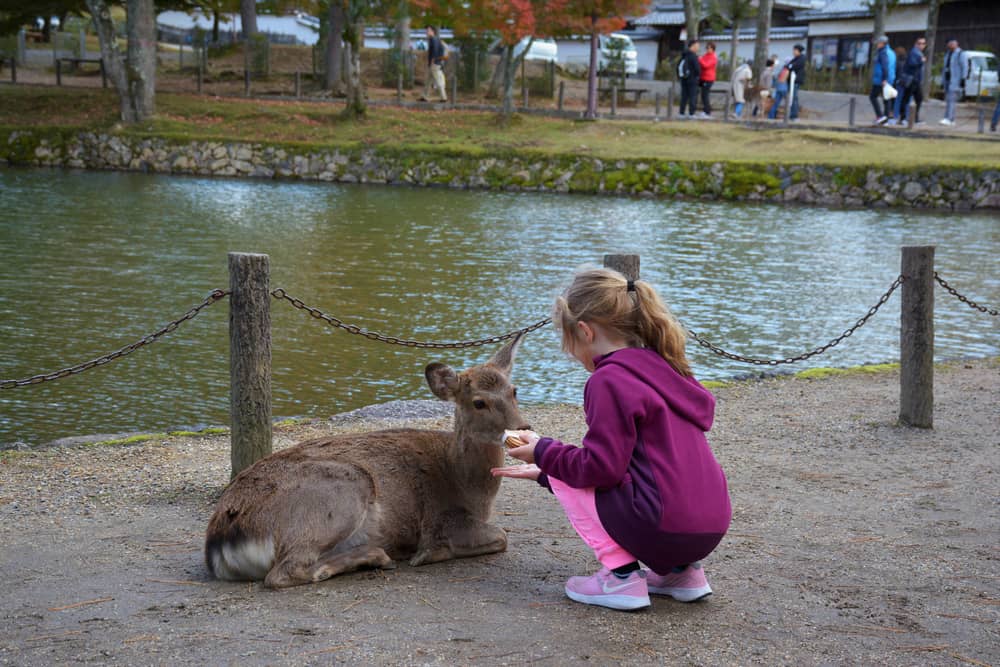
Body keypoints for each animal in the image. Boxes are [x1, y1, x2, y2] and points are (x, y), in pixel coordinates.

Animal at [204, 334, 532, 588]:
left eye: (514, 390)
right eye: (479, 402)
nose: (523, 427)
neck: (468, 488)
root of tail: (220, 541)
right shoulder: (444, 519)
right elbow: (501, 536)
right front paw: (429, 553)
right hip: (342, 490)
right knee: (283, 572)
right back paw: (375, 556)